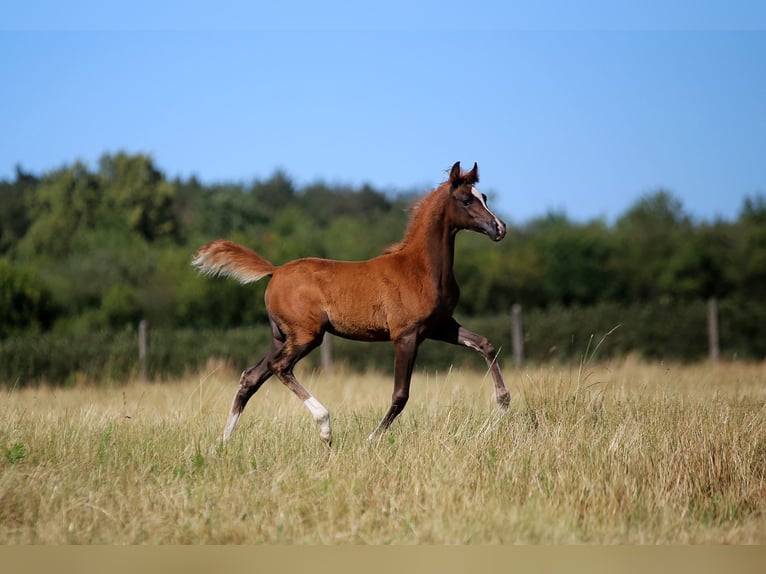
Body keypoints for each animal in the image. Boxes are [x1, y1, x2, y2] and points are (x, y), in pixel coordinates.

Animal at [192, 161, 510, 445]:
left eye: (485, 197)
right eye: (466, 199)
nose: (499, 228)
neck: (421, 268)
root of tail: (275, 270)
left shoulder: (440, 326)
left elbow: (485, 344)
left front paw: (503, 404)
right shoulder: (406, 335)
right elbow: (400, 395)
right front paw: (371, 439)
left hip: (281, 336)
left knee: (252, 377)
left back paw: (224, 441)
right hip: (307, 335)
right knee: (280, 367)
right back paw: (325, 426)